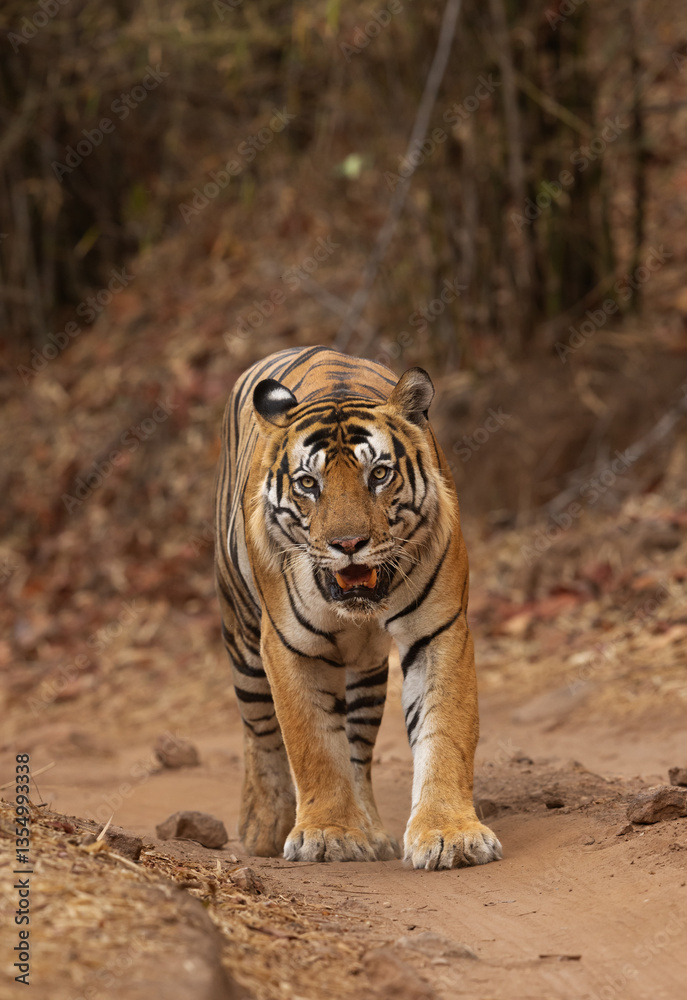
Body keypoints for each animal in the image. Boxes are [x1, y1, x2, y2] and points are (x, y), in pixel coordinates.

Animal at [214, 345, 502, 869]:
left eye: (379, 474)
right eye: (309, 483)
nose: (348, 544)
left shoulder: (438, 631)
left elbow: (443, 730)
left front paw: (450, 834)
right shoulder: (288, 646)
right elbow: (311, 745)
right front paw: (328, 834)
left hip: (365, 670)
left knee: (355, 748)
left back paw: (370, 831)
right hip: (242, 639)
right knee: (259, 731)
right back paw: (265, 825)